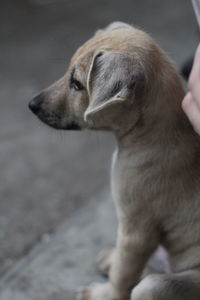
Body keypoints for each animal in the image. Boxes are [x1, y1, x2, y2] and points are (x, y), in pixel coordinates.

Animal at [28, 21, 200, 300]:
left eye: (77, 84)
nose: (32, 105)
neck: (150, 135)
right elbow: (124, 265)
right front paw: (112, 263)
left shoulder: (136, 230)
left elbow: (123, 273)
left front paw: (103, 294)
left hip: (155, 287)